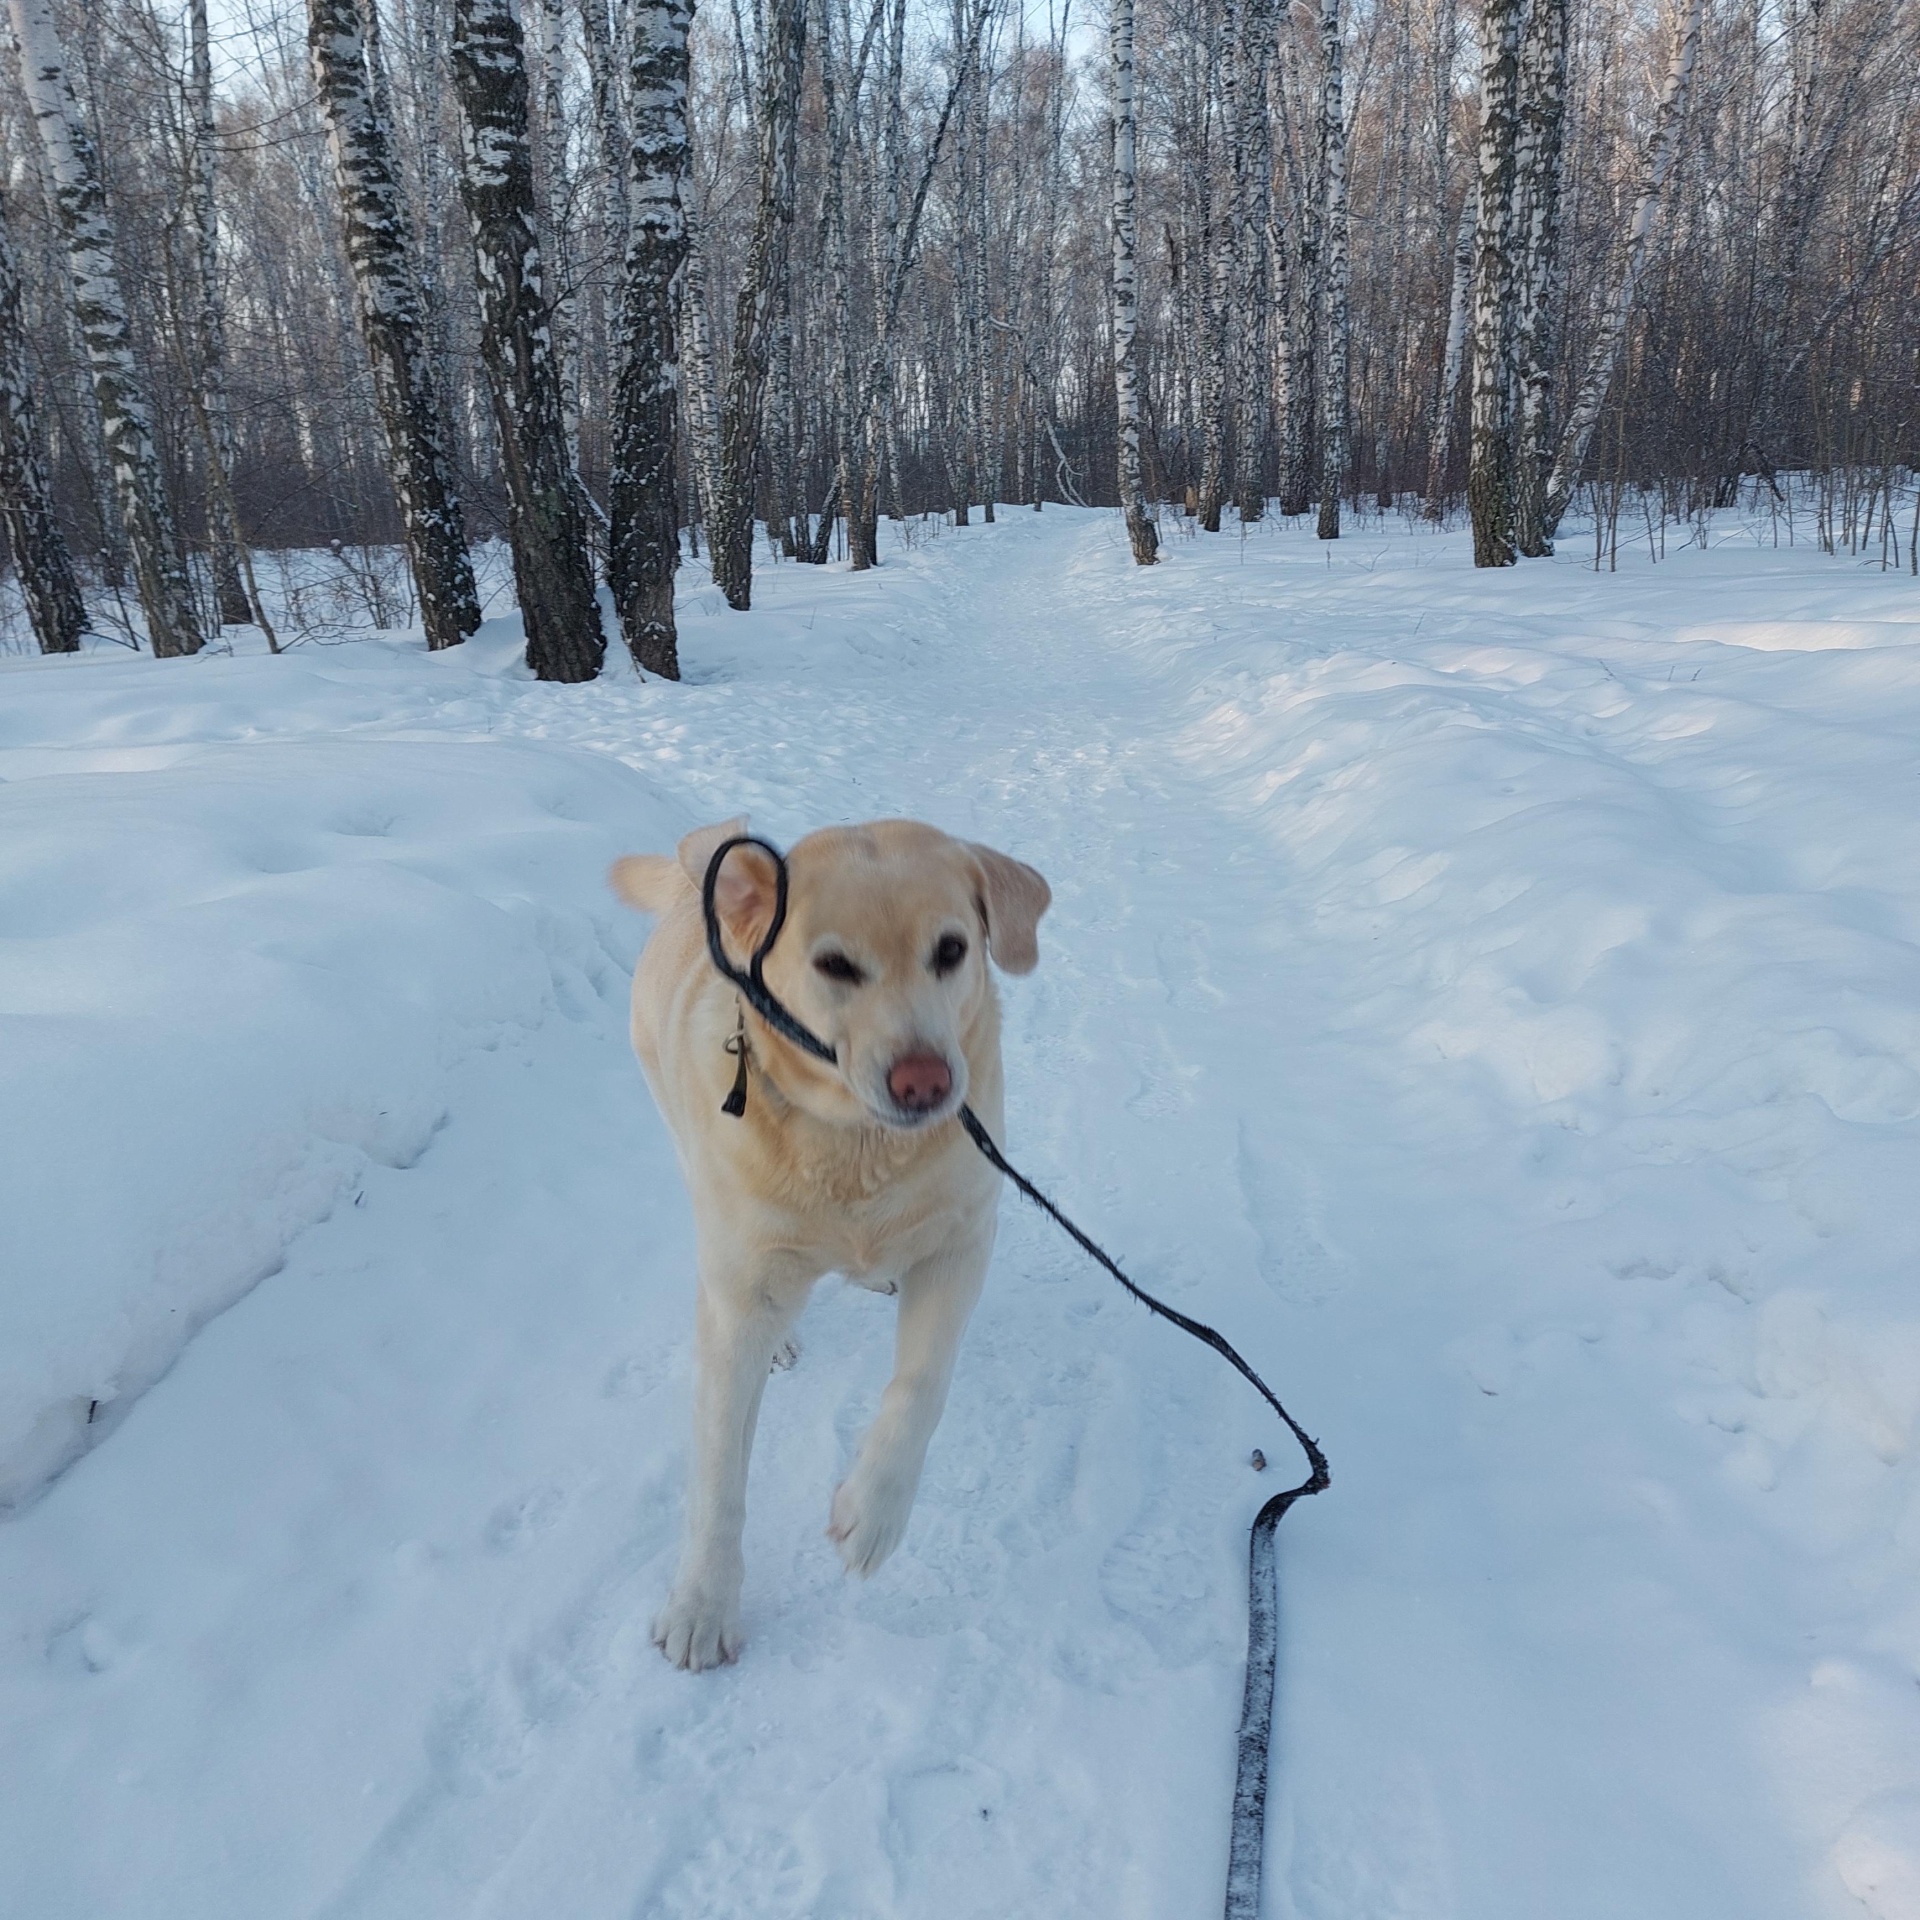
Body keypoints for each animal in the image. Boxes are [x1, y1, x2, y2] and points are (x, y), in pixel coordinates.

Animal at [610, 817, 1052, 1674]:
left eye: (952, 949)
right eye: (835, 966)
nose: (926, 1082)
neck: (855, 1146)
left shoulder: (963, 1241)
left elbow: (920, 1387)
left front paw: (873, 1511)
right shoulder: (740, 1301)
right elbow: (718, 1481)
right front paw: (702, 1605)